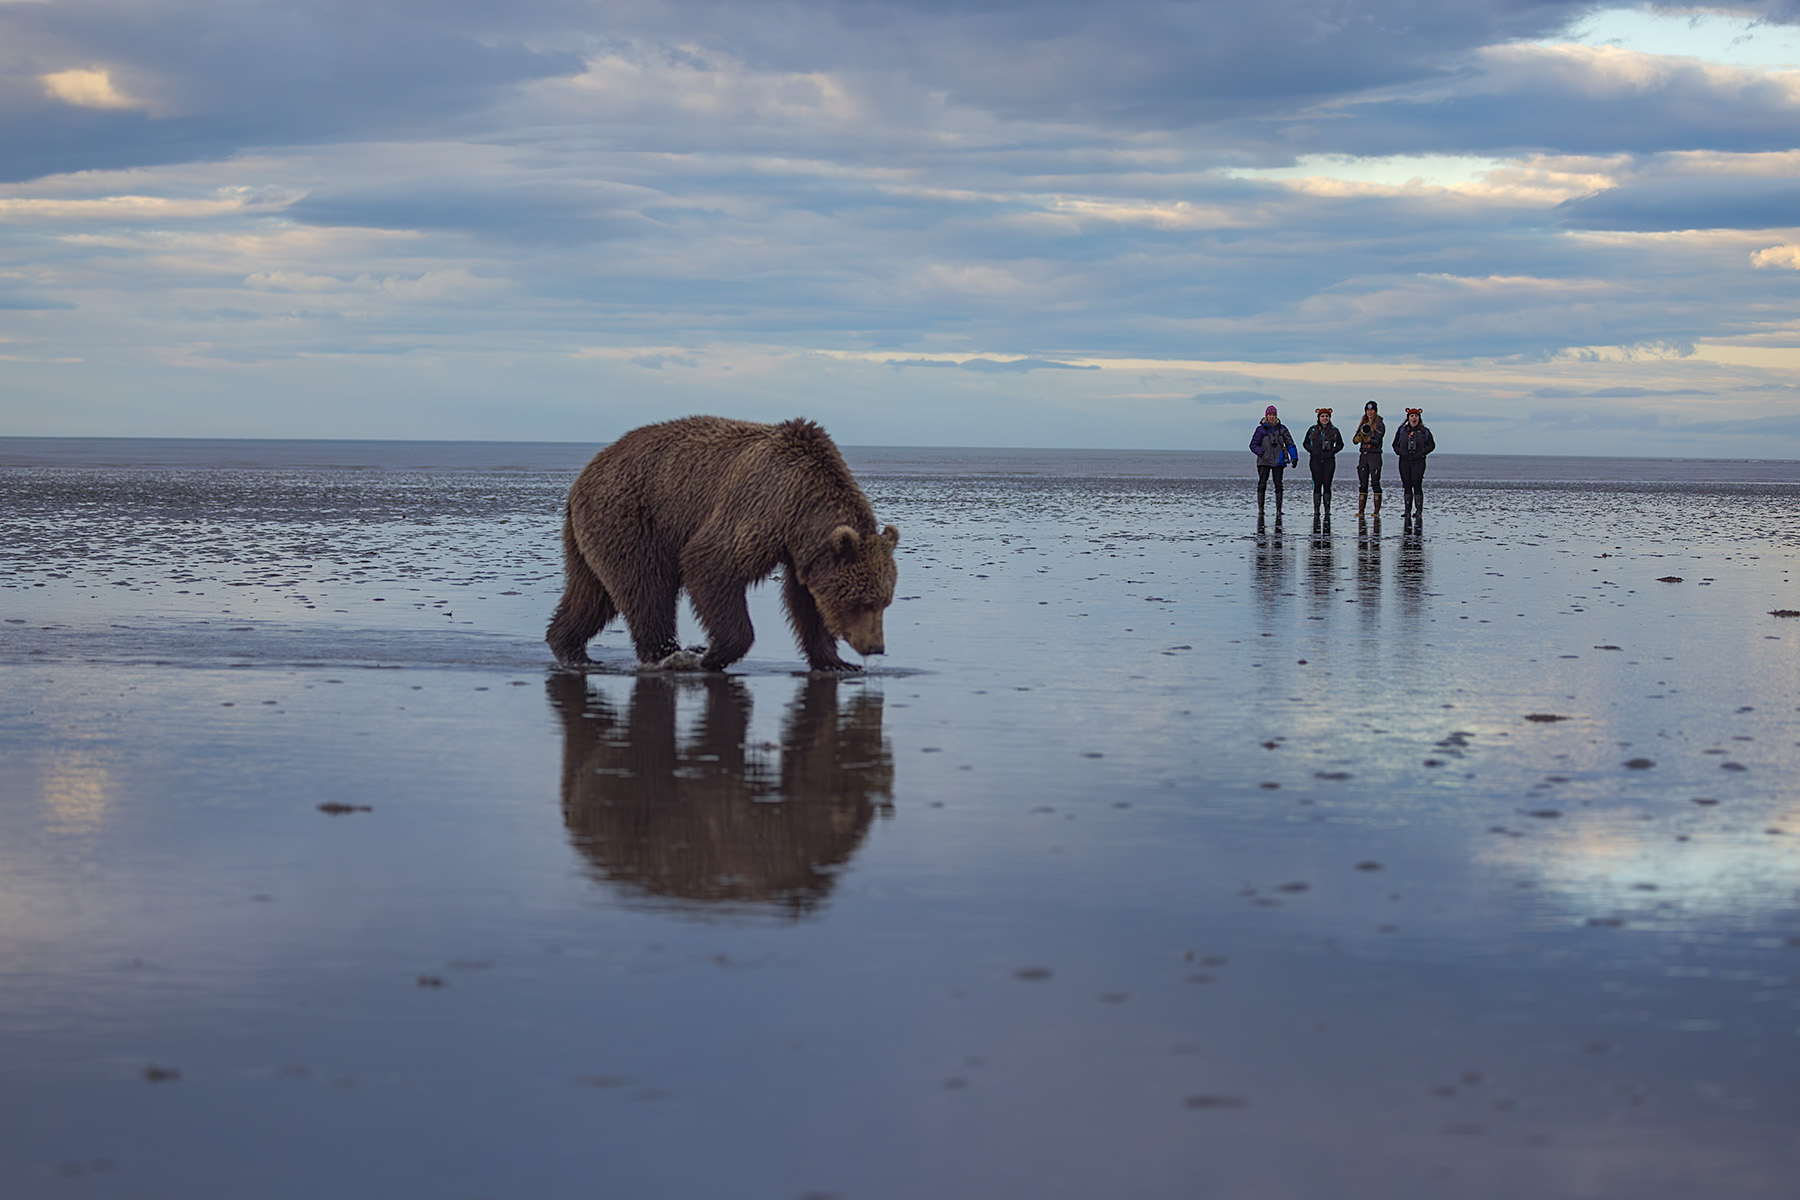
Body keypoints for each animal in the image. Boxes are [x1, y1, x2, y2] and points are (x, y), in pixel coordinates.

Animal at [546, 416, 899, 672]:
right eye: (863, 601)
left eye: (885, 601)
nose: (875, 647)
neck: (803, 508)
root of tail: (585, 473)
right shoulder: (759, 506)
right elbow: (711, 563)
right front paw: (712, 654)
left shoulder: (803, 552)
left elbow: (807, 602)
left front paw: (837, 663)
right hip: (632, 516)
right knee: (646, 586)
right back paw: (668, 654)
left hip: (588, 535)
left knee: (592, 594)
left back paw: (570, 648)